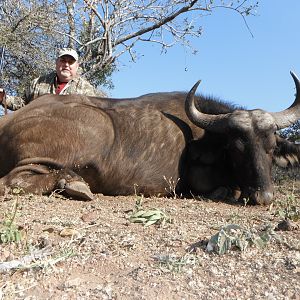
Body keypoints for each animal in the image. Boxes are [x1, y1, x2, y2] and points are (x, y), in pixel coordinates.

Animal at [0, 72, 298, 204]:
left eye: (271, 147)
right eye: (236, 148)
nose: (263, 196)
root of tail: (9, 122)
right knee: (12, 181)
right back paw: (74, 184)